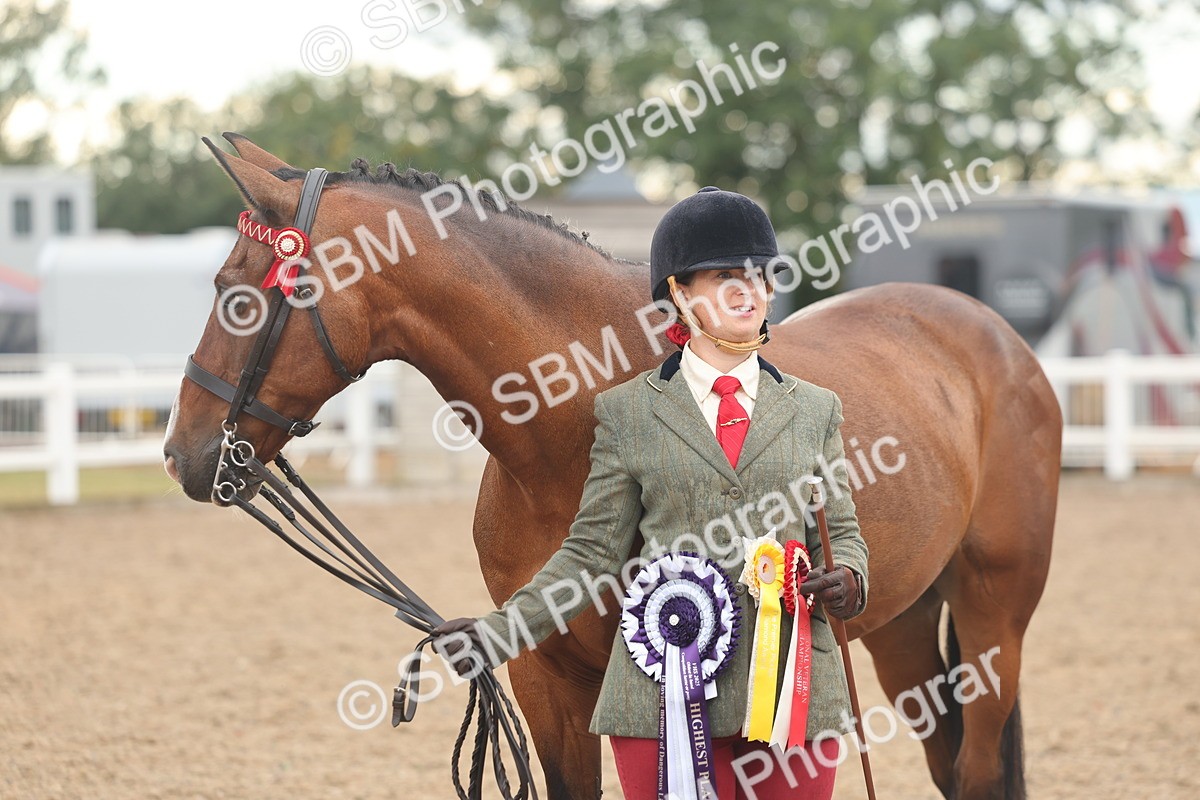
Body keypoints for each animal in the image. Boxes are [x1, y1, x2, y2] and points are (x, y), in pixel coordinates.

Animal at [163, 134, 1061, 800]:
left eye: (235, 291)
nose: (184, 452)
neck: (569, 429)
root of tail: (993, 335)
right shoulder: (547, 675)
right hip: (901, 624)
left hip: (994, 615)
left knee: (978, 766)